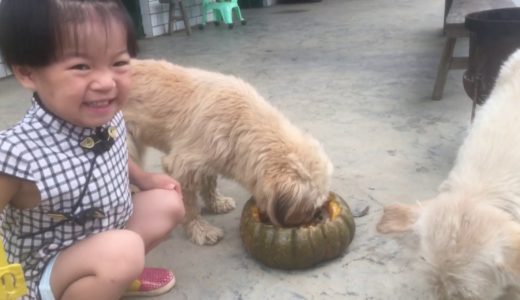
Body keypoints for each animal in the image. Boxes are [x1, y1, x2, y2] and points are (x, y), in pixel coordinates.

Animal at [124, 59, 332, 246]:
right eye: (309, 208)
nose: (316, 217)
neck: (241, 121)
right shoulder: (182, 166)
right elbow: (189, 206)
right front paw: (200, 229)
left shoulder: (210, 158)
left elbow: (209, 183)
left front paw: (216, 202)